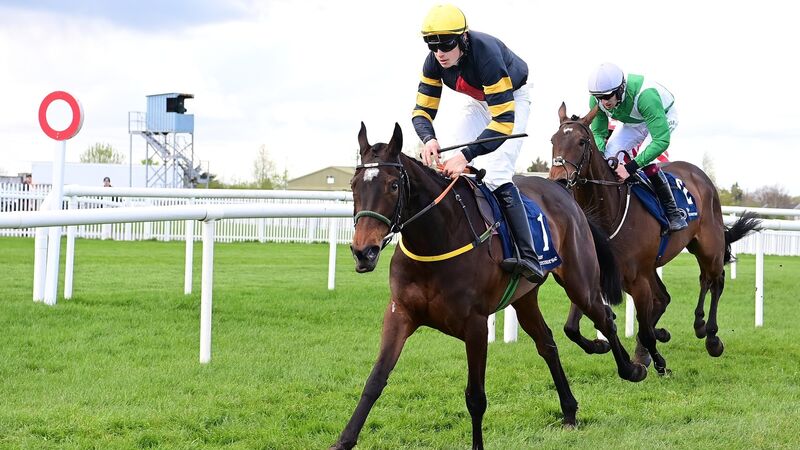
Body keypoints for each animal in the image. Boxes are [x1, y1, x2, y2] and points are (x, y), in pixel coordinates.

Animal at [331, 122, 647, 450]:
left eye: (393, 185)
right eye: (354, 184)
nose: (363, 252)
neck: (436, 240)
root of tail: (563, 192)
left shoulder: (476, 325)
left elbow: (475, 398)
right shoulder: (400, 312)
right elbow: (375, 379)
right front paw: (344, 440)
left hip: (580, 282)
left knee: (605, 318)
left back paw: (631, 367)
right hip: (525, 298)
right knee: (547, 343)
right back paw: (569, 410)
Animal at [549, 103, 761, 375]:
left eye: (582, 141)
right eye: (553, 140)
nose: (559, 179)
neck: (610, 212)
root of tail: (700, 175)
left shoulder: (638, 280)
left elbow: (644, 330)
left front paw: (658, 361)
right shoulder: (594, 276)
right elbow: (571, 328)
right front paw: (602, 344)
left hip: (708, 247)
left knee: (714, 280)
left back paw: (710, 335)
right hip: (654, 267)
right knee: (668, 296)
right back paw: (675, 332)